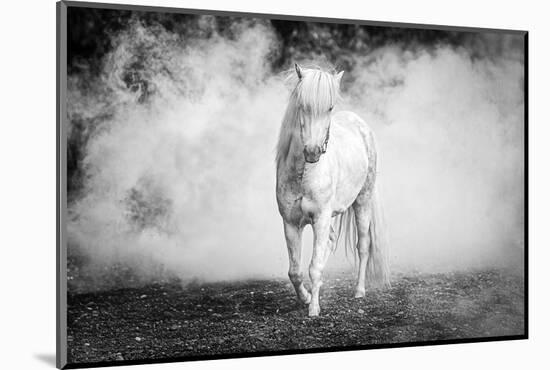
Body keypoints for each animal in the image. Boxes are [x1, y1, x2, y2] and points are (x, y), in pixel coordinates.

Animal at [276, 62, 392, 316]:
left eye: (329, 108)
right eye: (302, 106)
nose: (312, 152)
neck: (304, 173)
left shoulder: (320, 218)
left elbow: (314, 266)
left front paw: (314, 309)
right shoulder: (290, 222)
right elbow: (295, 270)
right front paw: (306, 298)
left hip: (362, 202)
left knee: (363, 246)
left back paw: (359, 291)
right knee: (329, 242)